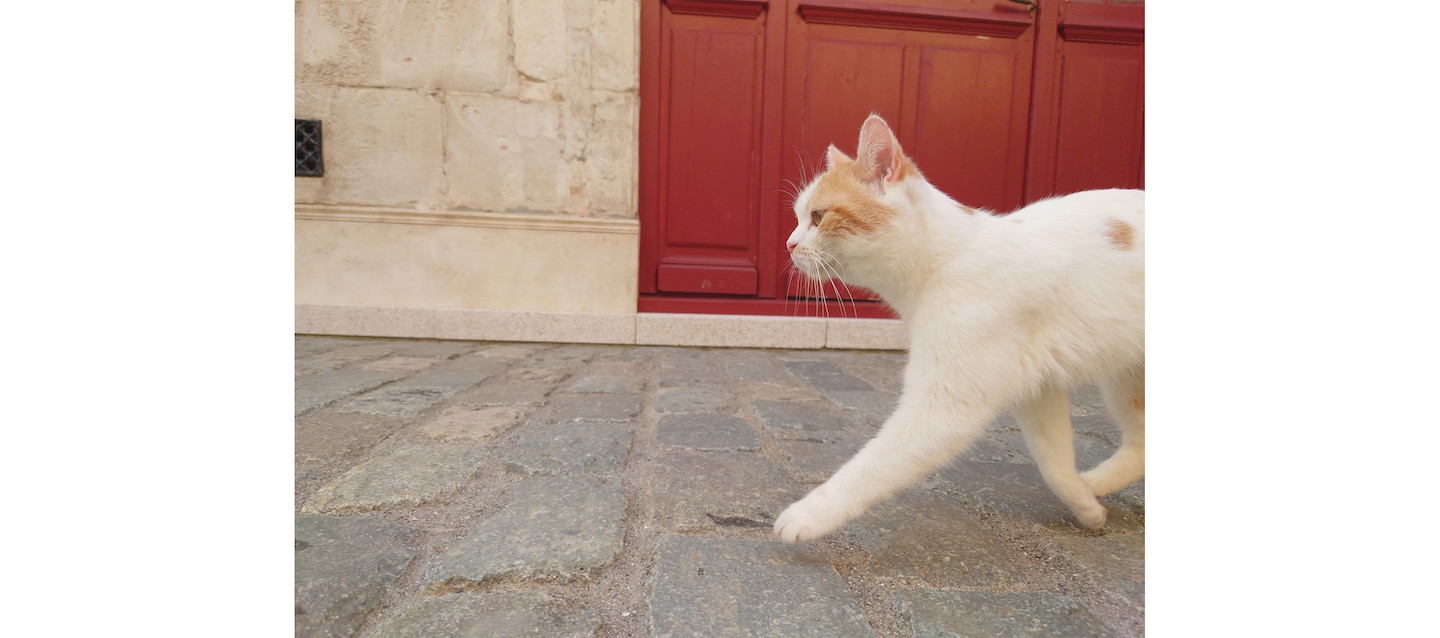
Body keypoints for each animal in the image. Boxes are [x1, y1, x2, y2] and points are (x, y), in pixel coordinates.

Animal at [783, 115, 1140, 544]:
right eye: (798, 217)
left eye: (818, 217)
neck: (947, 258)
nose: (789, 243)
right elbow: (1053, 461)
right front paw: (1085, 506)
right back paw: (1097, 482)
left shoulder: (946, 407)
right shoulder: (1039, 390)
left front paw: (807, 514)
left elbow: (871, 465)